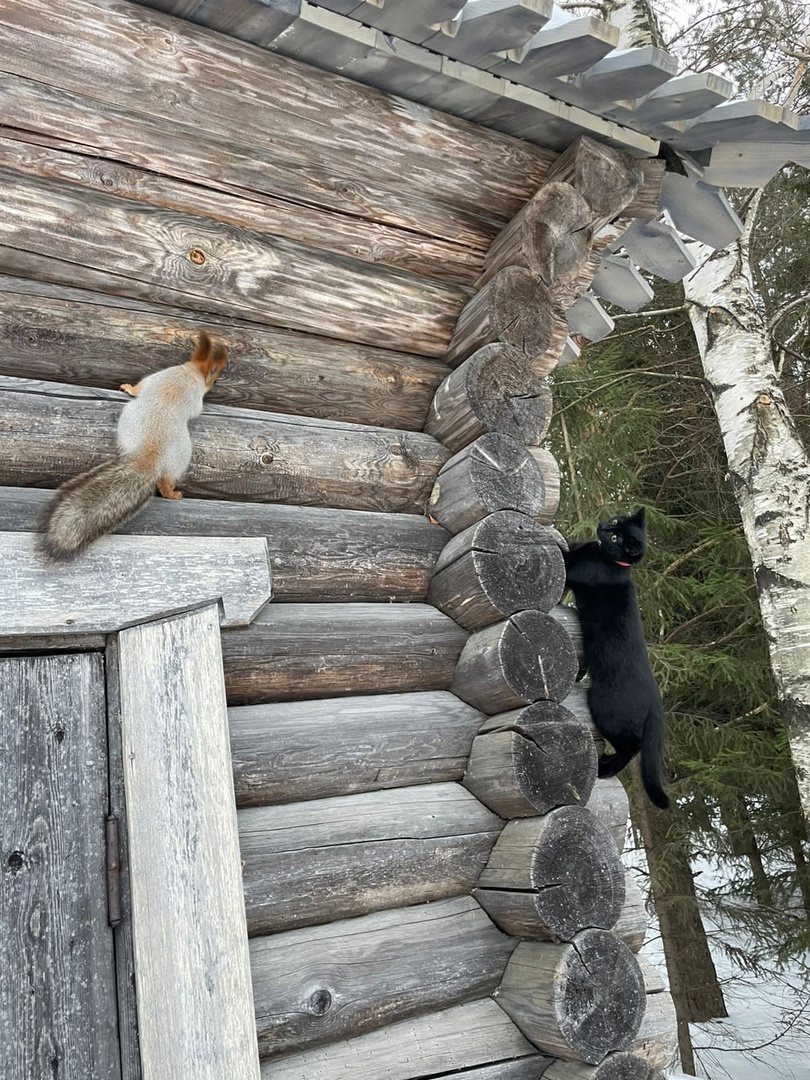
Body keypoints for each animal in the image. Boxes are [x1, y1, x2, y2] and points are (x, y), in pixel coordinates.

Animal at [43, 332, 228, 561]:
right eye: (215, 377)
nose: (213, 385)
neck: (190, 370)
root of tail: (151, 451)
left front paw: (128, 388)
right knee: (165, 481)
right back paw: (172, 493)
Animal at [561, 509, 669, 807]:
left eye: (614, 538)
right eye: (615, 522)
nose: (603, 525)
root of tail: (656, 703)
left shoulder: (574, 568)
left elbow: (563, 556)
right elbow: (569, 543)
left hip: (606, 708)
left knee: (632, 747)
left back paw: (606, 767)